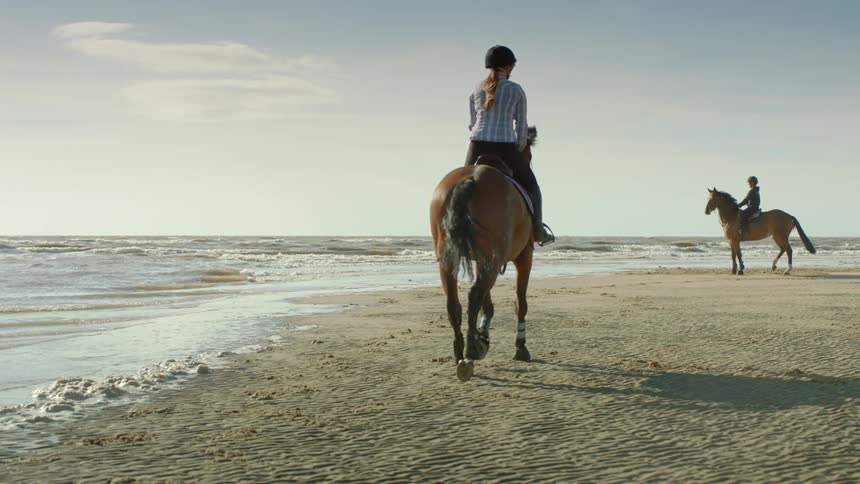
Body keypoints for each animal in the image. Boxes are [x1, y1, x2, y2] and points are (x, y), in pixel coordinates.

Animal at [429, 128, 539, 382]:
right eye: (527, 155)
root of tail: (470, 179)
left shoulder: (481, 259)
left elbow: (488, 304)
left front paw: (483, 336)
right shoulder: (524, 256)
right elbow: (520, 302)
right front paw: (520, 346)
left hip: (449, 258)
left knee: (455, 303)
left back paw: (462, 354)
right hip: (494, 259)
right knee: (475, 294)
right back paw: (470, 351)